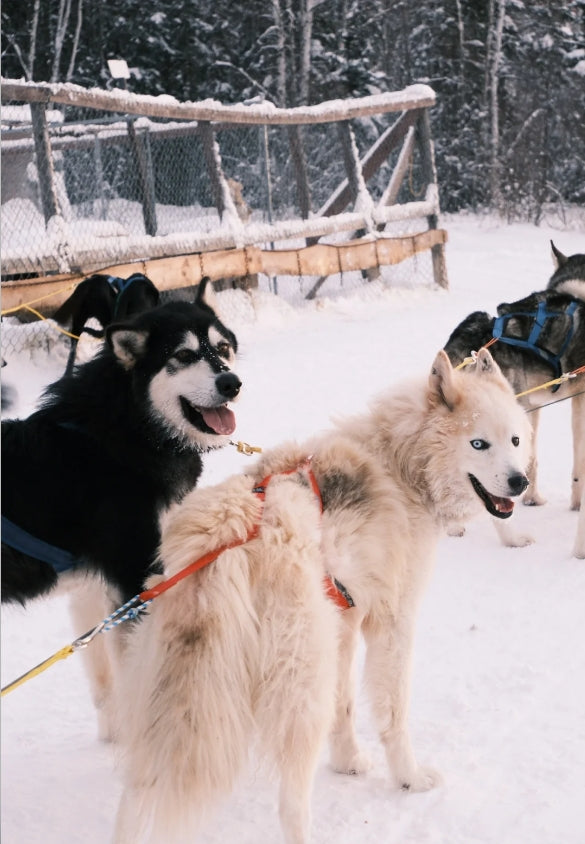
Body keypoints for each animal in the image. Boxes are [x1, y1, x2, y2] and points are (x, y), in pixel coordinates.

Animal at [1, 280, 241, 736]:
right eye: (184, 356)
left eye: (223, 348)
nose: (231, 382)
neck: (124, 435)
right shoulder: (136, 584)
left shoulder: (93, 593)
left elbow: (107, 685)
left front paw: (116, 738)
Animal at [112, 346, 532, 840]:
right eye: (478, 444)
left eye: (516, 441)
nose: (520, 483)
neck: (401, 463)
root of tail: (223, 537)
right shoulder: (391, 622)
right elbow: (393, 714)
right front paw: (408, 778)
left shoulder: (345, 621)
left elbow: (345, 706)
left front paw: (349, 761)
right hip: (301, 687)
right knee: (291, 805)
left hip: (171, 698)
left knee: (136, 794)